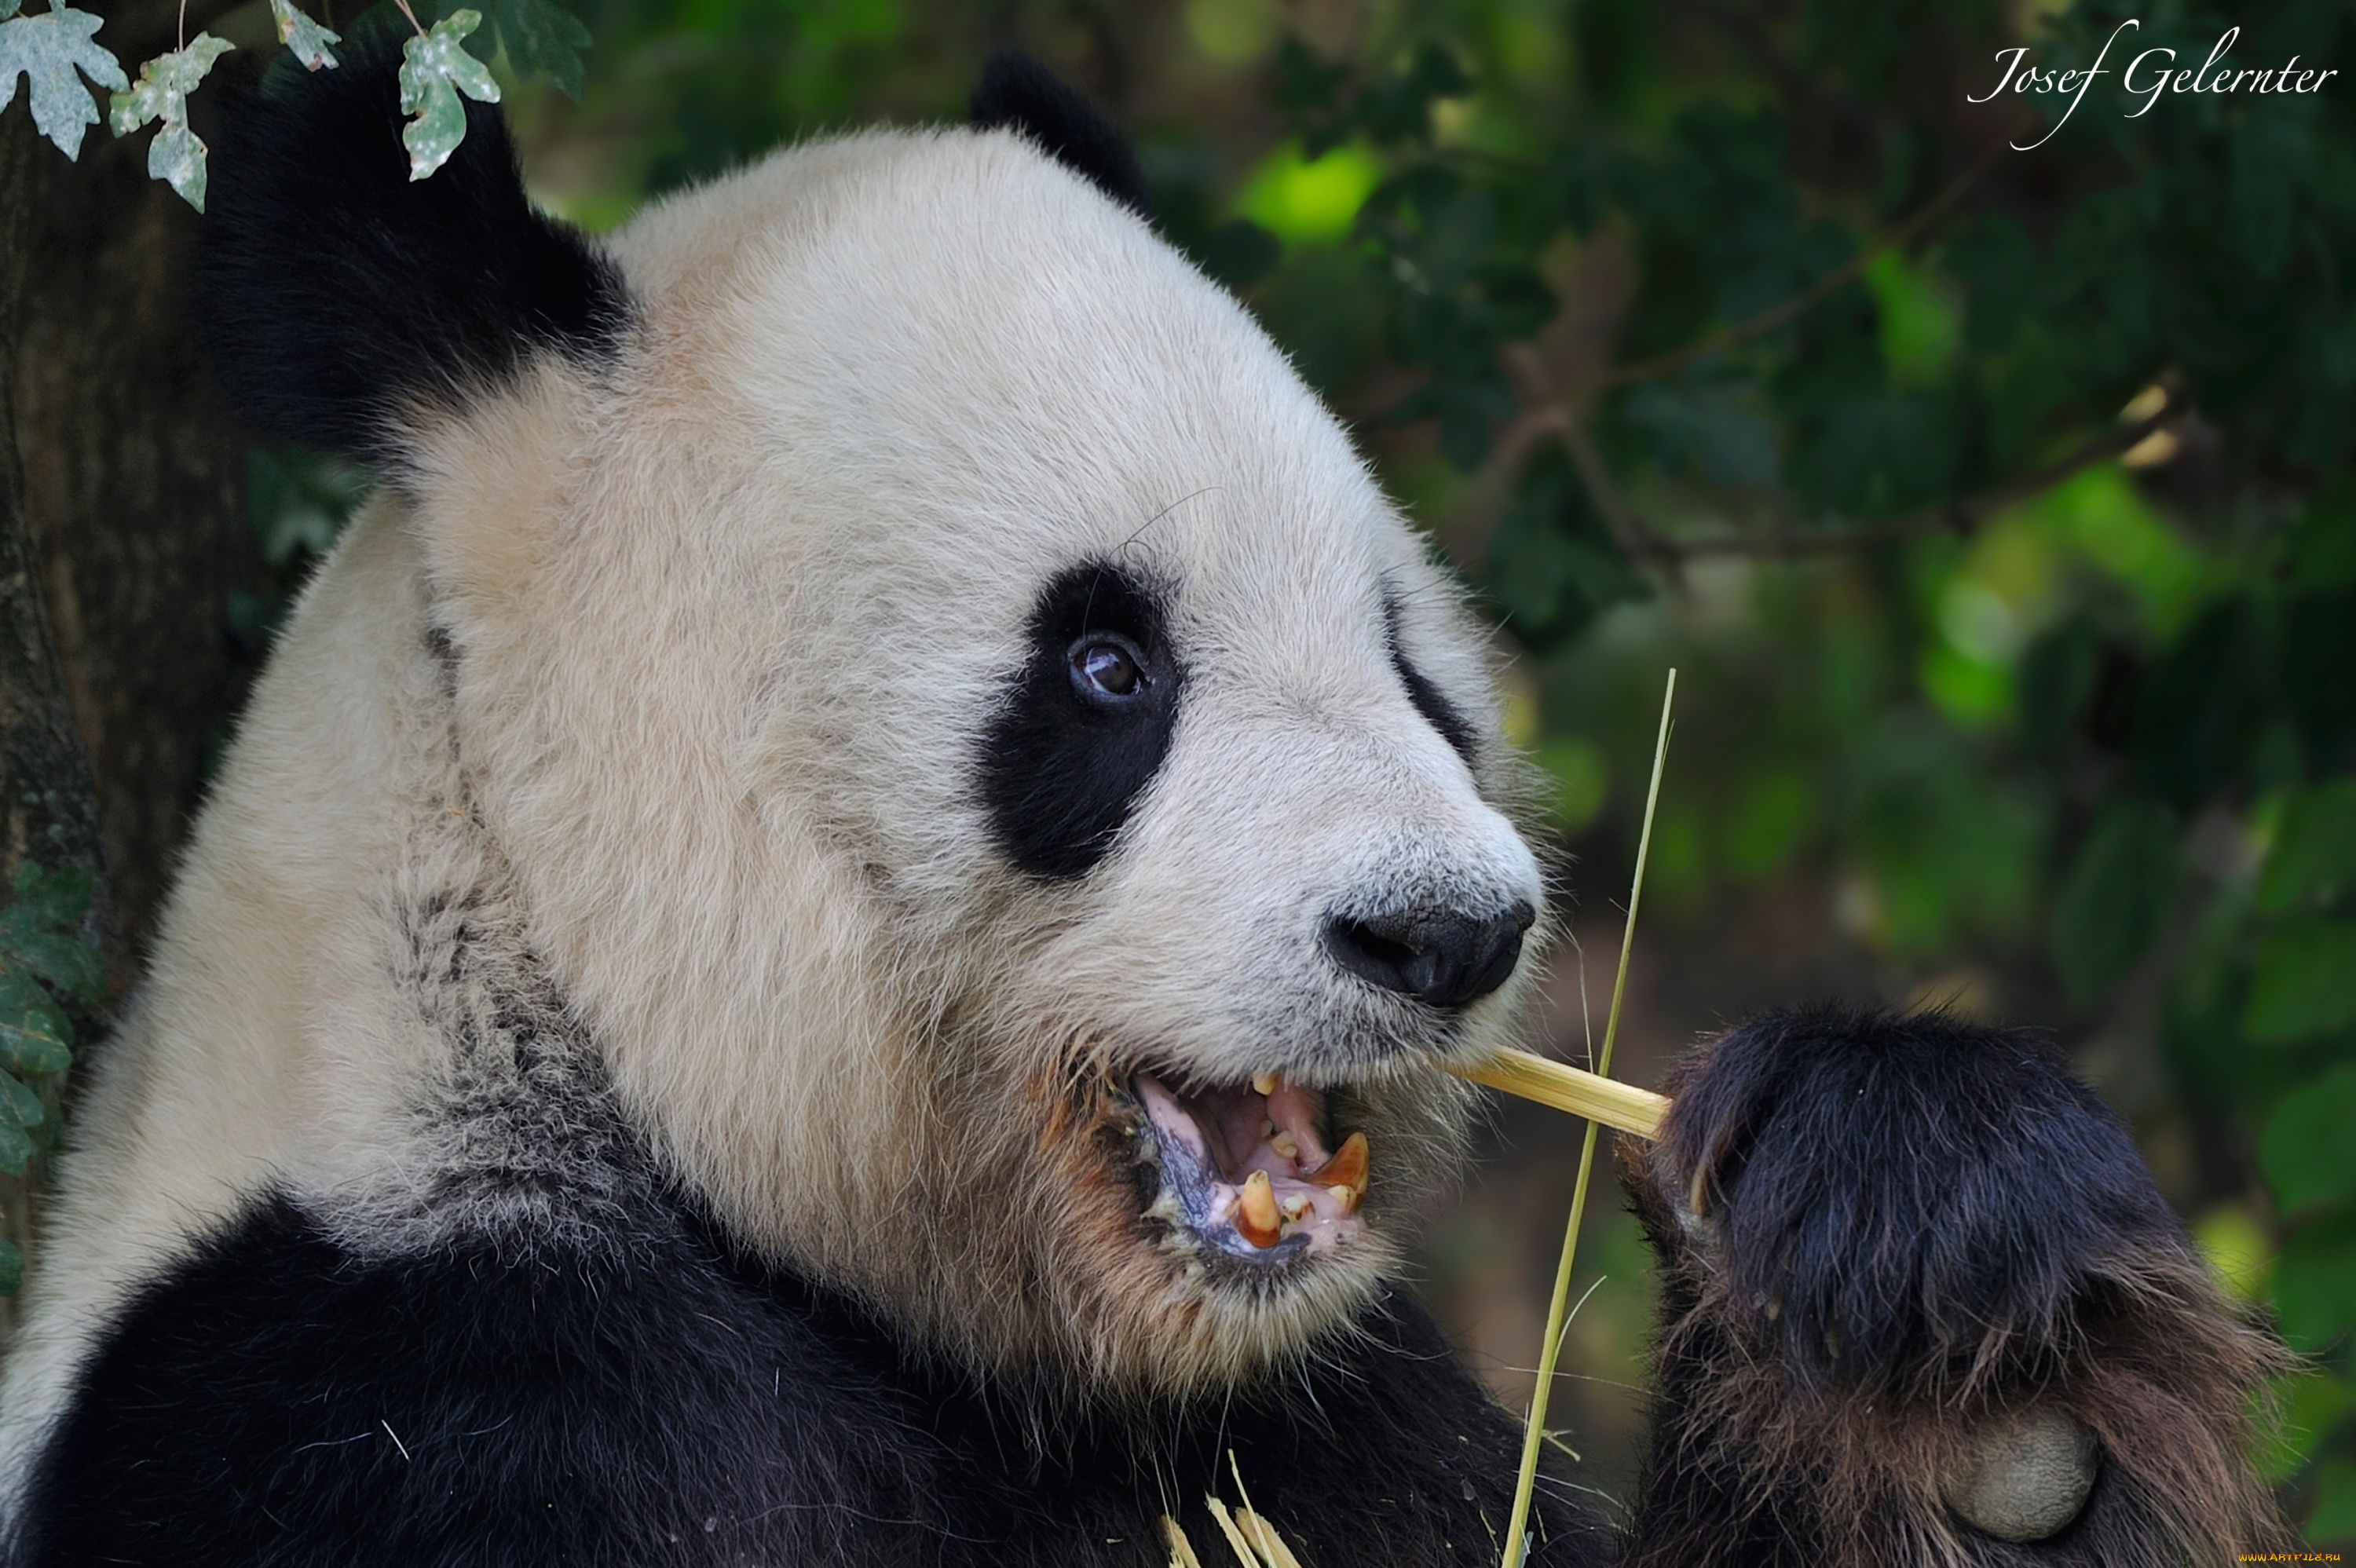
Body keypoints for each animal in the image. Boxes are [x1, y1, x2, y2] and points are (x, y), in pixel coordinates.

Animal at [0, 42, 2290, 1554]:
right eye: (1105, 670)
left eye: (1412, 666)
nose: (1445, 934)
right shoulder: (413, 1391)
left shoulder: (1330, 1412)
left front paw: (1943, 1296)